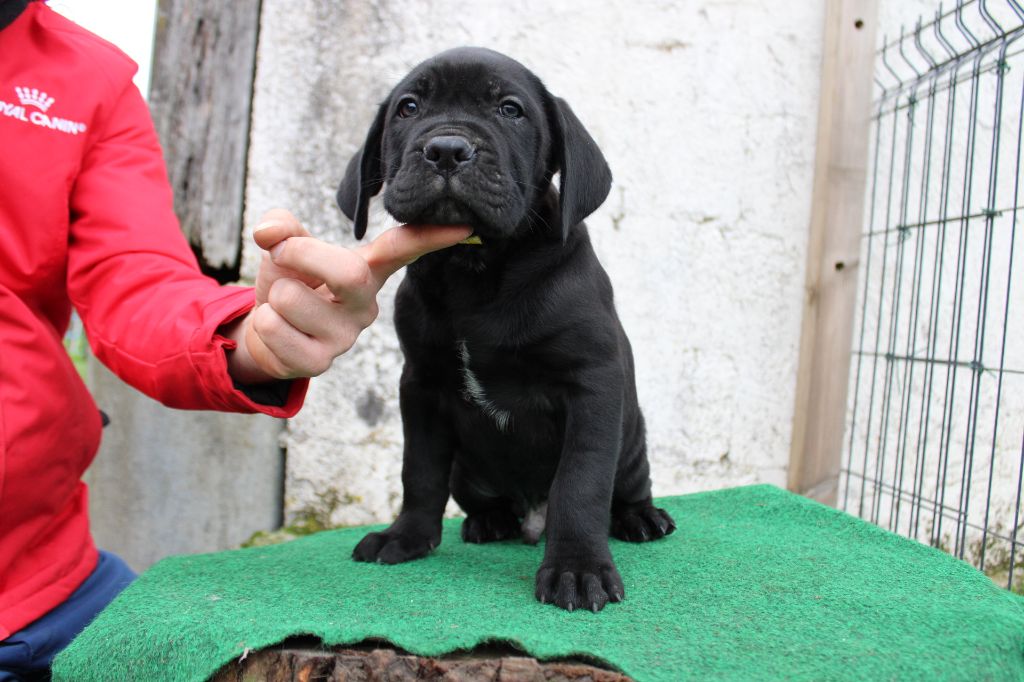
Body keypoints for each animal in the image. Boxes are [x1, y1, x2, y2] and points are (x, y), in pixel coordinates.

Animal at [335, 47, 671, 610]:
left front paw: (577, 568)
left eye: (510, 110)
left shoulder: (593, 384)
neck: (475, 265)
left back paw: (640, 517)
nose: (447, 149)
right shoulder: (421, 386)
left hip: (632, 444)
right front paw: (405, 537)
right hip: (467, 472)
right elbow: (418, 470)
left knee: (625, 486)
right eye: (408, 107)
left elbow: (581, 481)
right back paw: (489, 521)